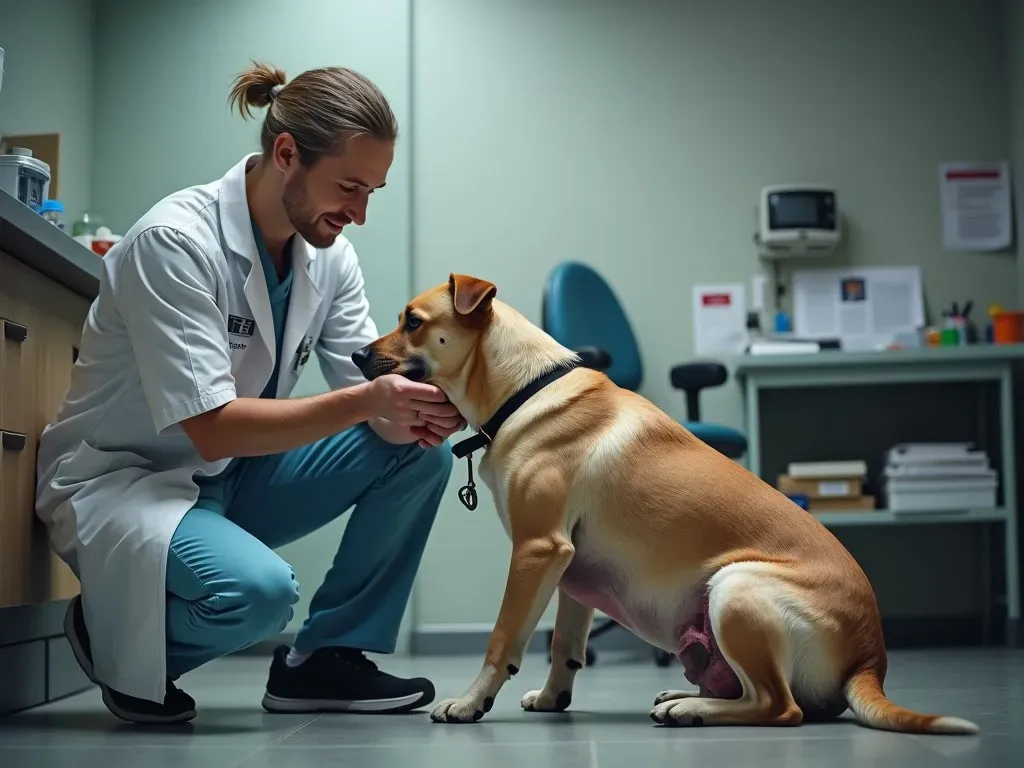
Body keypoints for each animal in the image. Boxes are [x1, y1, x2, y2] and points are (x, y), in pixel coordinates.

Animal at [352, 274, 974, 733]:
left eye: (413, 321)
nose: (356, 354)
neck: (524, 390)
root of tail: (872, 660)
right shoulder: (568, 568)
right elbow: (565, 646)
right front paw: (554, 698)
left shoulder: (537, 551)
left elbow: (504, 637)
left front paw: (469, 702)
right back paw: (682, 692)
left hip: (736, 587)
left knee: (780, 707)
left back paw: (690, 709)